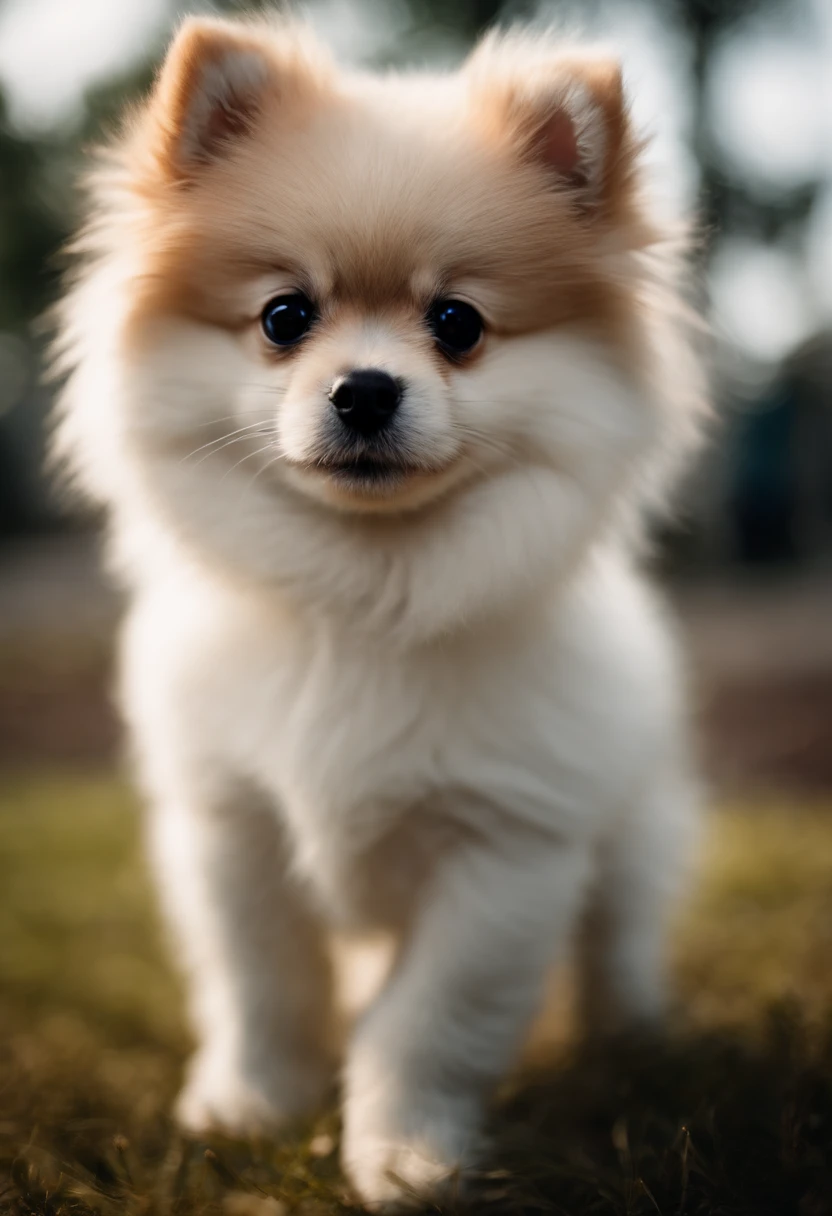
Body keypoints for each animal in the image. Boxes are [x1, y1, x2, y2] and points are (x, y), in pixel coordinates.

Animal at [52, 16, 705, 1206]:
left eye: (457, 324)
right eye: (284, 316)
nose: (362, 388)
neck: (363, 592)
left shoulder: (504, 848)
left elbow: (427, 1021)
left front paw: (405, 1153)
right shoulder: (235, 827)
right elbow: (265, 987)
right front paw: (251, 1108)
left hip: (637, 827)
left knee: (620, 935)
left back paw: (630, 1040)